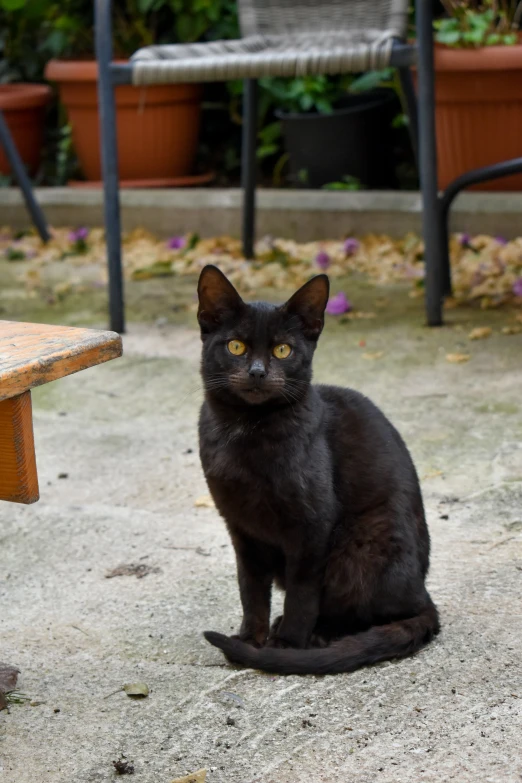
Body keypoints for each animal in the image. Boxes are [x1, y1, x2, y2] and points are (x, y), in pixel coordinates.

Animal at [197, 264, 436, 672]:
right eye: (236, 346)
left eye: (283, 349)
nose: (258, 372)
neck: (246, 429)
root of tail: (424, 594)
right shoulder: (240, 526)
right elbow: (250, 588)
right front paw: (250, 640)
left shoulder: (312, 525)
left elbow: (302, 591)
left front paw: (285, 646)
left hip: (361, 543)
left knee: (372, 612)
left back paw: (318, 635)